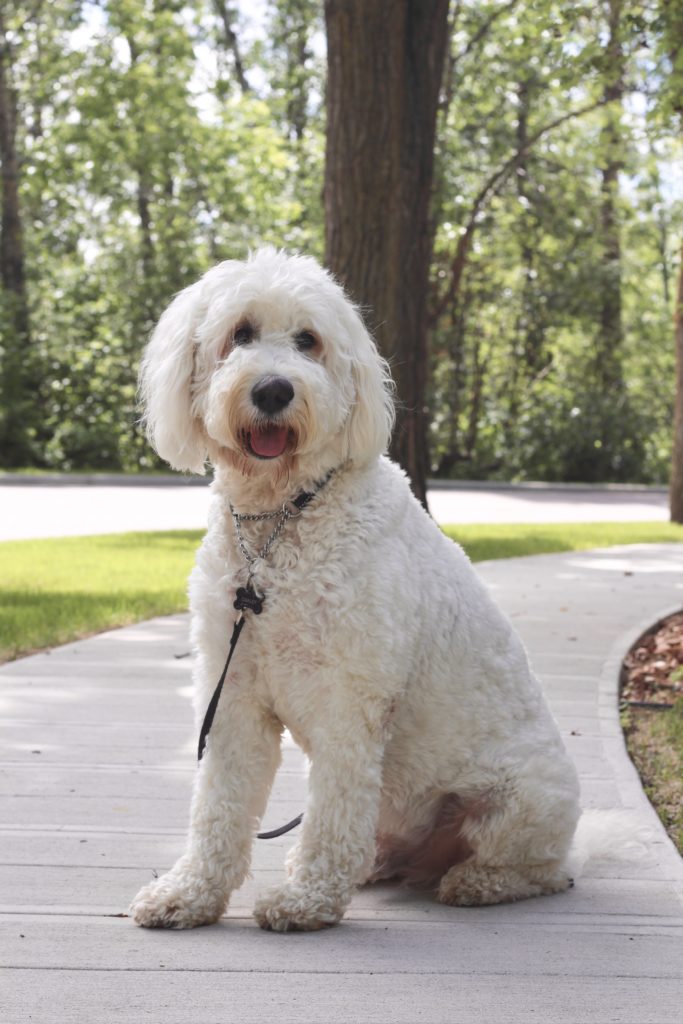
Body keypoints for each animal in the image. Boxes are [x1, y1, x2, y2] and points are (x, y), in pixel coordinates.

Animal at [131, 245, 585, 929]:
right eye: (240, 333)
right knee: (386, 843)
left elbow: (330, 812)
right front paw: (190, 893)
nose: (274, 389)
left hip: (520, 801)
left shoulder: (350, 700)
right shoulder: (233, 693)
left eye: (308, 341)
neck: (283, 518)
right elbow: (218, 808)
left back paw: (476, 881)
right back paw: (379, 866)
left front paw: (306, 900)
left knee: (542, 872)